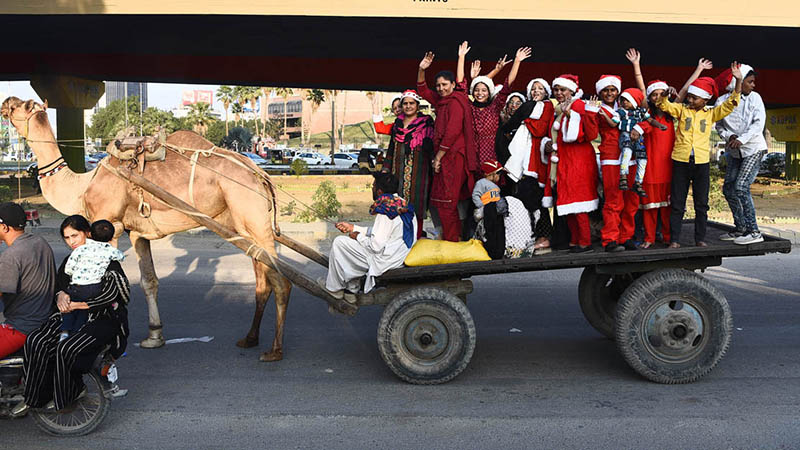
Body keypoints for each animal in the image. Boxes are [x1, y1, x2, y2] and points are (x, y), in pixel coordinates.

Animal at [0, 97, 294, 362]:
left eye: (23, 106)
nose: (6, 101)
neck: (83, 186)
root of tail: (261, 175)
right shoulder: (137, 234)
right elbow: (149, 281)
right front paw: (154, 336)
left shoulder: (110, 225)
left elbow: (111, 284)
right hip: (242, 224)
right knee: (262, 280)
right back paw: (250, 338)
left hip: (251, 216)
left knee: (281, 281)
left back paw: (275, 350)